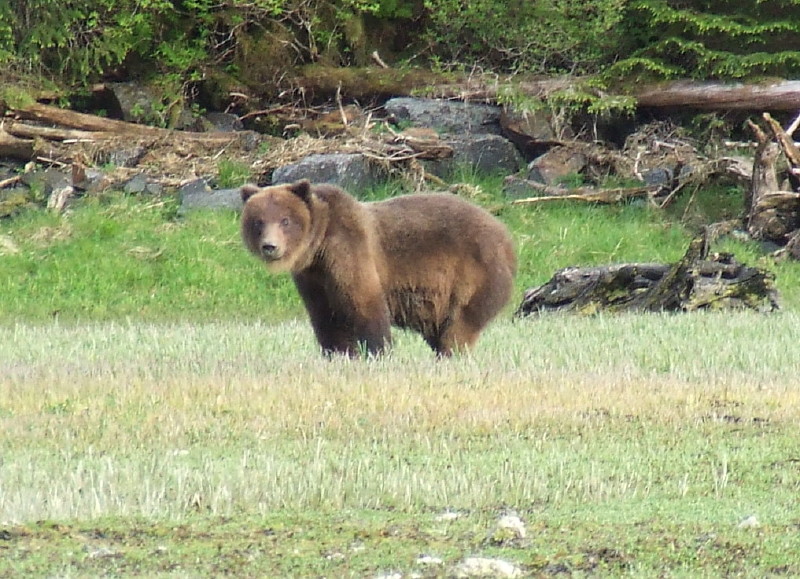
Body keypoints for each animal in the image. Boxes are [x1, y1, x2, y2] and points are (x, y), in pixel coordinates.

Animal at [242, 179, 520, 356]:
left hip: (474, 274)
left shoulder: (350, 252)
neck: (319, 245)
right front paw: (337, 353)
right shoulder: (313, 278)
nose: (270, 246)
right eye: (258, 221)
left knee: (460, 326)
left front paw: (378, 352)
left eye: (285, 220)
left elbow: (365, 305)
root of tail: (507, 237)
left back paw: (450, 353)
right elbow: (326, 318)